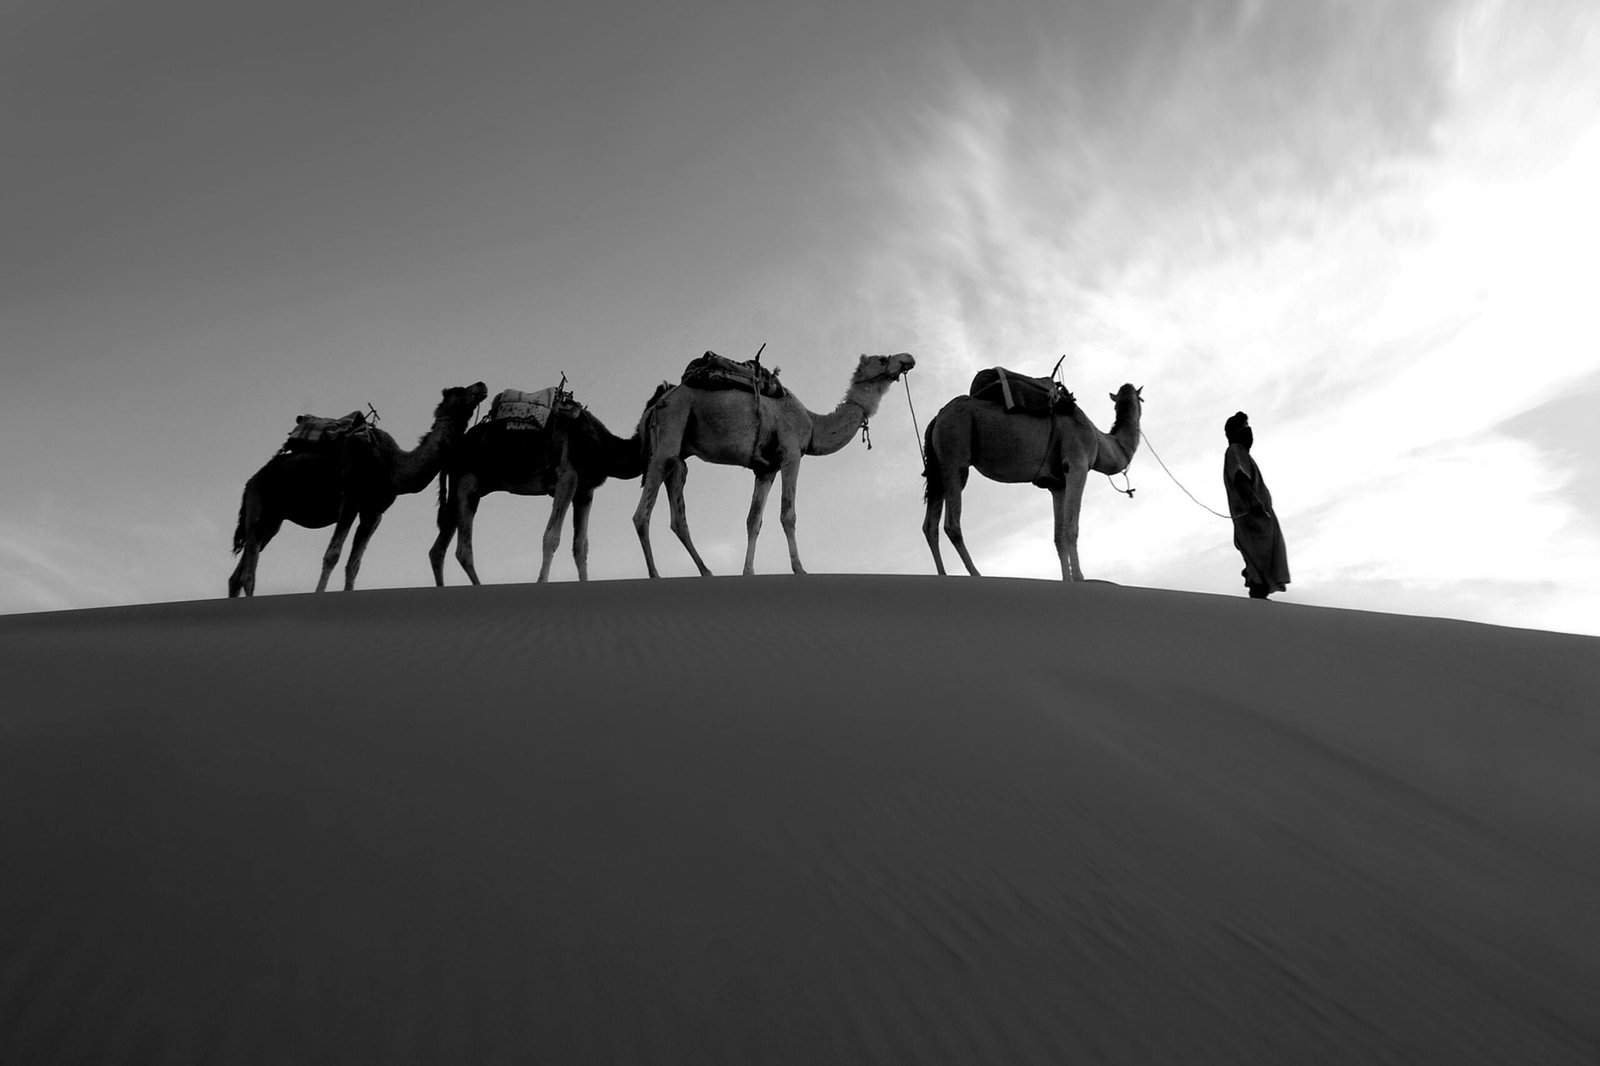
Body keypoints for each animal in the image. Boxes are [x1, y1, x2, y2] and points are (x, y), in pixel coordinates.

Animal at [228, 381, 488, 597]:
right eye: (458, 390)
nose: (481, 385)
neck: (393, 466)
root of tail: (249, 483)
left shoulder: (374, 512)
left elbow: (354, 564)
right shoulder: (351, 499)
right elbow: (332, 554)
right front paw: (318, 594)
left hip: (273, 521)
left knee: (237, 574)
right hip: (259, 509)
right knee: (249, 572)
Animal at [428, 399, 647, 585]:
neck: (601, 446)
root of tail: (452, 450)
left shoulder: (585, 492)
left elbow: (581, 546)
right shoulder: (567, 478)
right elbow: (551, 538)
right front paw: (541, 581)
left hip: (460, 491)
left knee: (438, 550)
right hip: (467, 485)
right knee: (463, 551)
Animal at [633, 352, 917, 577]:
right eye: (882, 358)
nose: (908, 358)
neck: (813, 425)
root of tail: (654, 405)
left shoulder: (766, 469)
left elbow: (753, 520)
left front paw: (748, 571)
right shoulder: (791, 454)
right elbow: (787, 514)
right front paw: (799, 568)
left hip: (679, 455)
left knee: (678, 515)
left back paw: (706, 571)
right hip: (671, 425)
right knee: (642, 513)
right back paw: (655, 575)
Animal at [922, 382, 1143, 581]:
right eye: (1142, 399)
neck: (1101, 443)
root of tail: (937, 418)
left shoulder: (1057, 484)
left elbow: (1058, 534)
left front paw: (1067, 578)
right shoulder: (1077, 465)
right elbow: (1072, 528)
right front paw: (1080, 577)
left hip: (939, 467)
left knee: (929, 525)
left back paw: (942, 574)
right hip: (955, 452)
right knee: (952, 524)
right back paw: (976, 574)